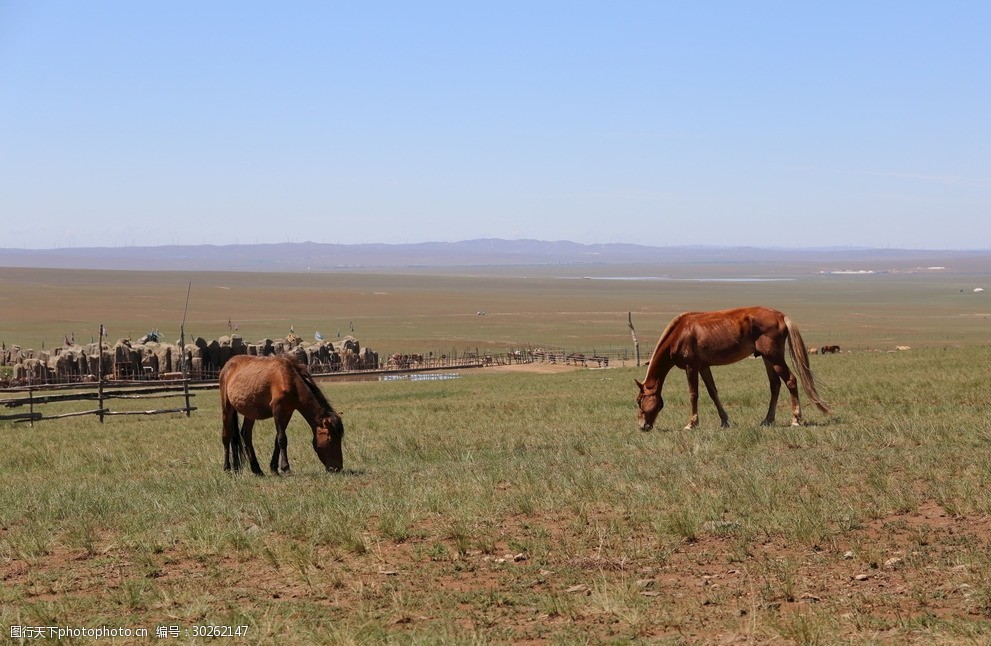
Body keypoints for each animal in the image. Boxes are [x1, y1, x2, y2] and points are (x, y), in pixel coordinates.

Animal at [636, 308, 828, 432]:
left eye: (639, 401)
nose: (642, 426)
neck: (680, 334)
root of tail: (781, 316)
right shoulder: (704, 367)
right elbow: (713, 393)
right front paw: (724, 421)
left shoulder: (691, 367)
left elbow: (693, 394)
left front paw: (691, 424)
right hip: (767, 359)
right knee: (775, 385)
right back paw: (768, 420)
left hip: (774, 357)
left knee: (790, 380)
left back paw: (795, 419)